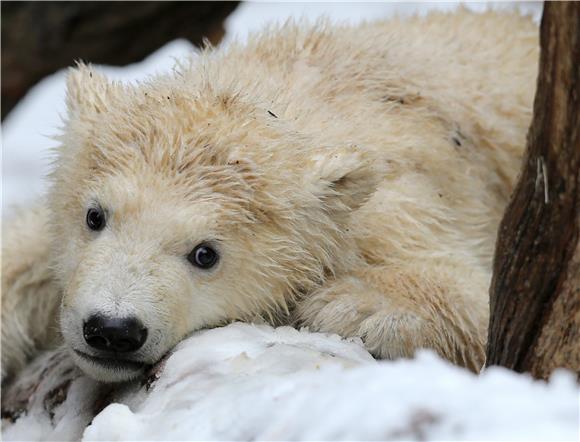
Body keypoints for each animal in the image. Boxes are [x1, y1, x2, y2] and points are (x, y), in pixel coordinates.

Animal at [0, 11, 536, 384]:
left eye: (205, 253)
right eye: (95, 216)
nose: (113, 330)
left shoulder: (411, 207)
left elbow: (479, 300)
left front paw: (350, 305)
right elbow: (24, 251)